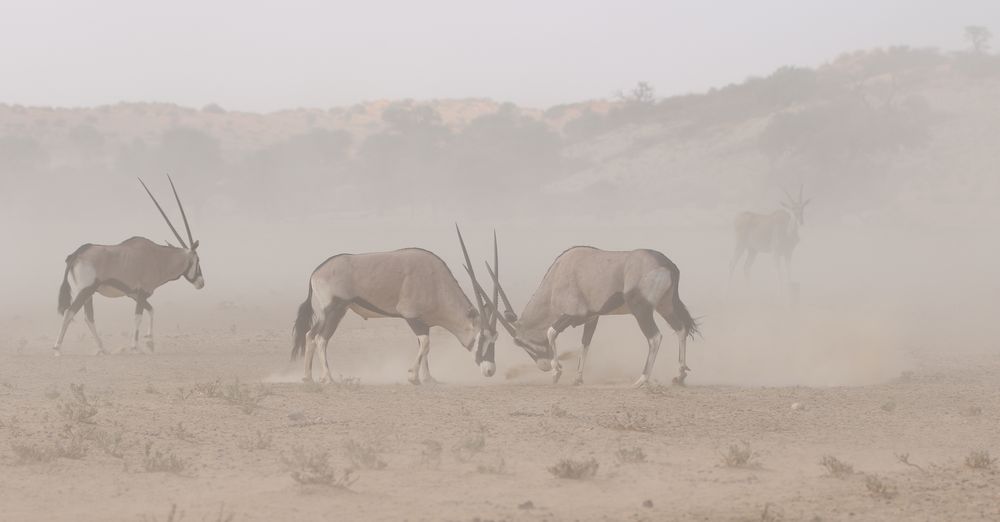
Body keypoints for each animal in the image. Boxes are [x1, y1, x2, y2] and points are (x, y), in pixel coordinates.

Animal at [54, 177, 205, 356]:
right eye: (198, 260)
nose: (201, 283)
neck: (159, 257)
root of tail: (76, 254)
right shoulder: (141, 293)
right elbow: (138, 316)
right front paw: (135, 346)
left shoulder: (135, 294)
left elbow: (151, 310)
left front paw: (149, 343)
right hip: (86, 290)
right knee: (70, 313)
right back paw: (57, 348)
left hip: (88, 293)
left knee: (88, 317)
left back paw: (103, 348)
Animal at [292, 223, 504, 382]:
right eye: (482, 338)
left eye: (495, 339)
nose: (490, 370)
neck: (435, 281)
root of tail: (316, 271)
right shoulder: (411, 316)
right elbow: (425, 343)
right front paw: (413, 377)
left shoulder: (424, 322)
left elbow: (425, 347)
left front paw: (428, 378)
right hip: (334, 310)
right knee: (321, 339)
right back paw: (328, 378)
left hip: (332, 312)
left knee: (311, 335)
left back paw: (308, 377)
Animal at [474, 241, 696, 386]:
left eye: (521, 344)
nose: (543, 366)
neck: (556, 277)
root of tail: (667, 264)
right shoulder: (591, 317)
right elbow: (585, 343)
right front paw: (577, 378)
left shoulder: (574, 314)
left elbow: (551, 332)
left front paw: (557, 372)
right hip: (665, 306)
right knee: (681, 329)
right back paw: (680, 376)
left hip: (641, 309)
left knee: (655, 337)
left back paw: (641, 380)